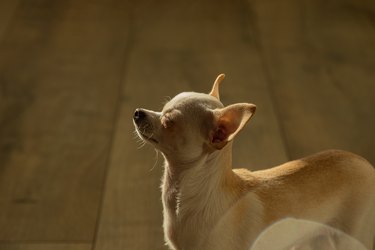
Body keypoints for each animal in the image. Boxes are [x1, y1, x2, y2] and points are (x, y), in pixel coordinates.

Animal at [133, 73, 375, 249]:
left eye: (168, 121)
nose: (137, 112)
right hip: (318, 239)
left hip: (352, 237)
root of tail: (364, 162)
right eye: (161, 109)